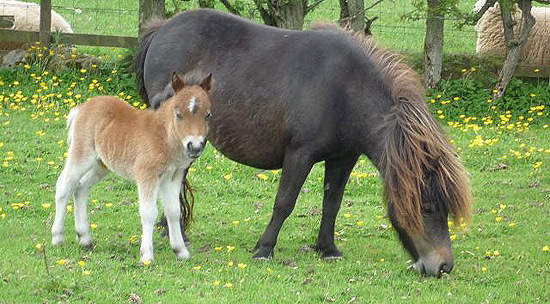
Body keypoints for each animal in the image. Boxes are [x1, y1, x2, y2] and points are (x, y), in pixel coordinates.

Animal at [52, 73, 213, 264]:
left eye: (208, 114)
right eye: (178, 114)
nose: (195, 146)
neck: (164, 136)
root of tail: (82, 107)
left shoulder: (173, 177)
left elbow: (174, 212)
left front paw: (181, 251)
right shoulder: (147, 174)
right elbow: (149, 212)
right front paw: (147, 256)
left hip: (102, 164)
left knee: (81, 188)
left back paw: (85, 239)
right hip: (82, 154)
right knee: (64, 185)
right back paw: (57, 237)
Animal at [135, 9, 474, 276]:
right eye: (427, 208)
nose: (444, 266)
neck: (346, 90)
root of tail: (162, 28)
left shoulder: (343, 158)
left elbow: (332, 203)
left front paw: (327, 248)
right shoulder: (300, 154)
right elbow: (285, 202)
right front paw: (264, 248)